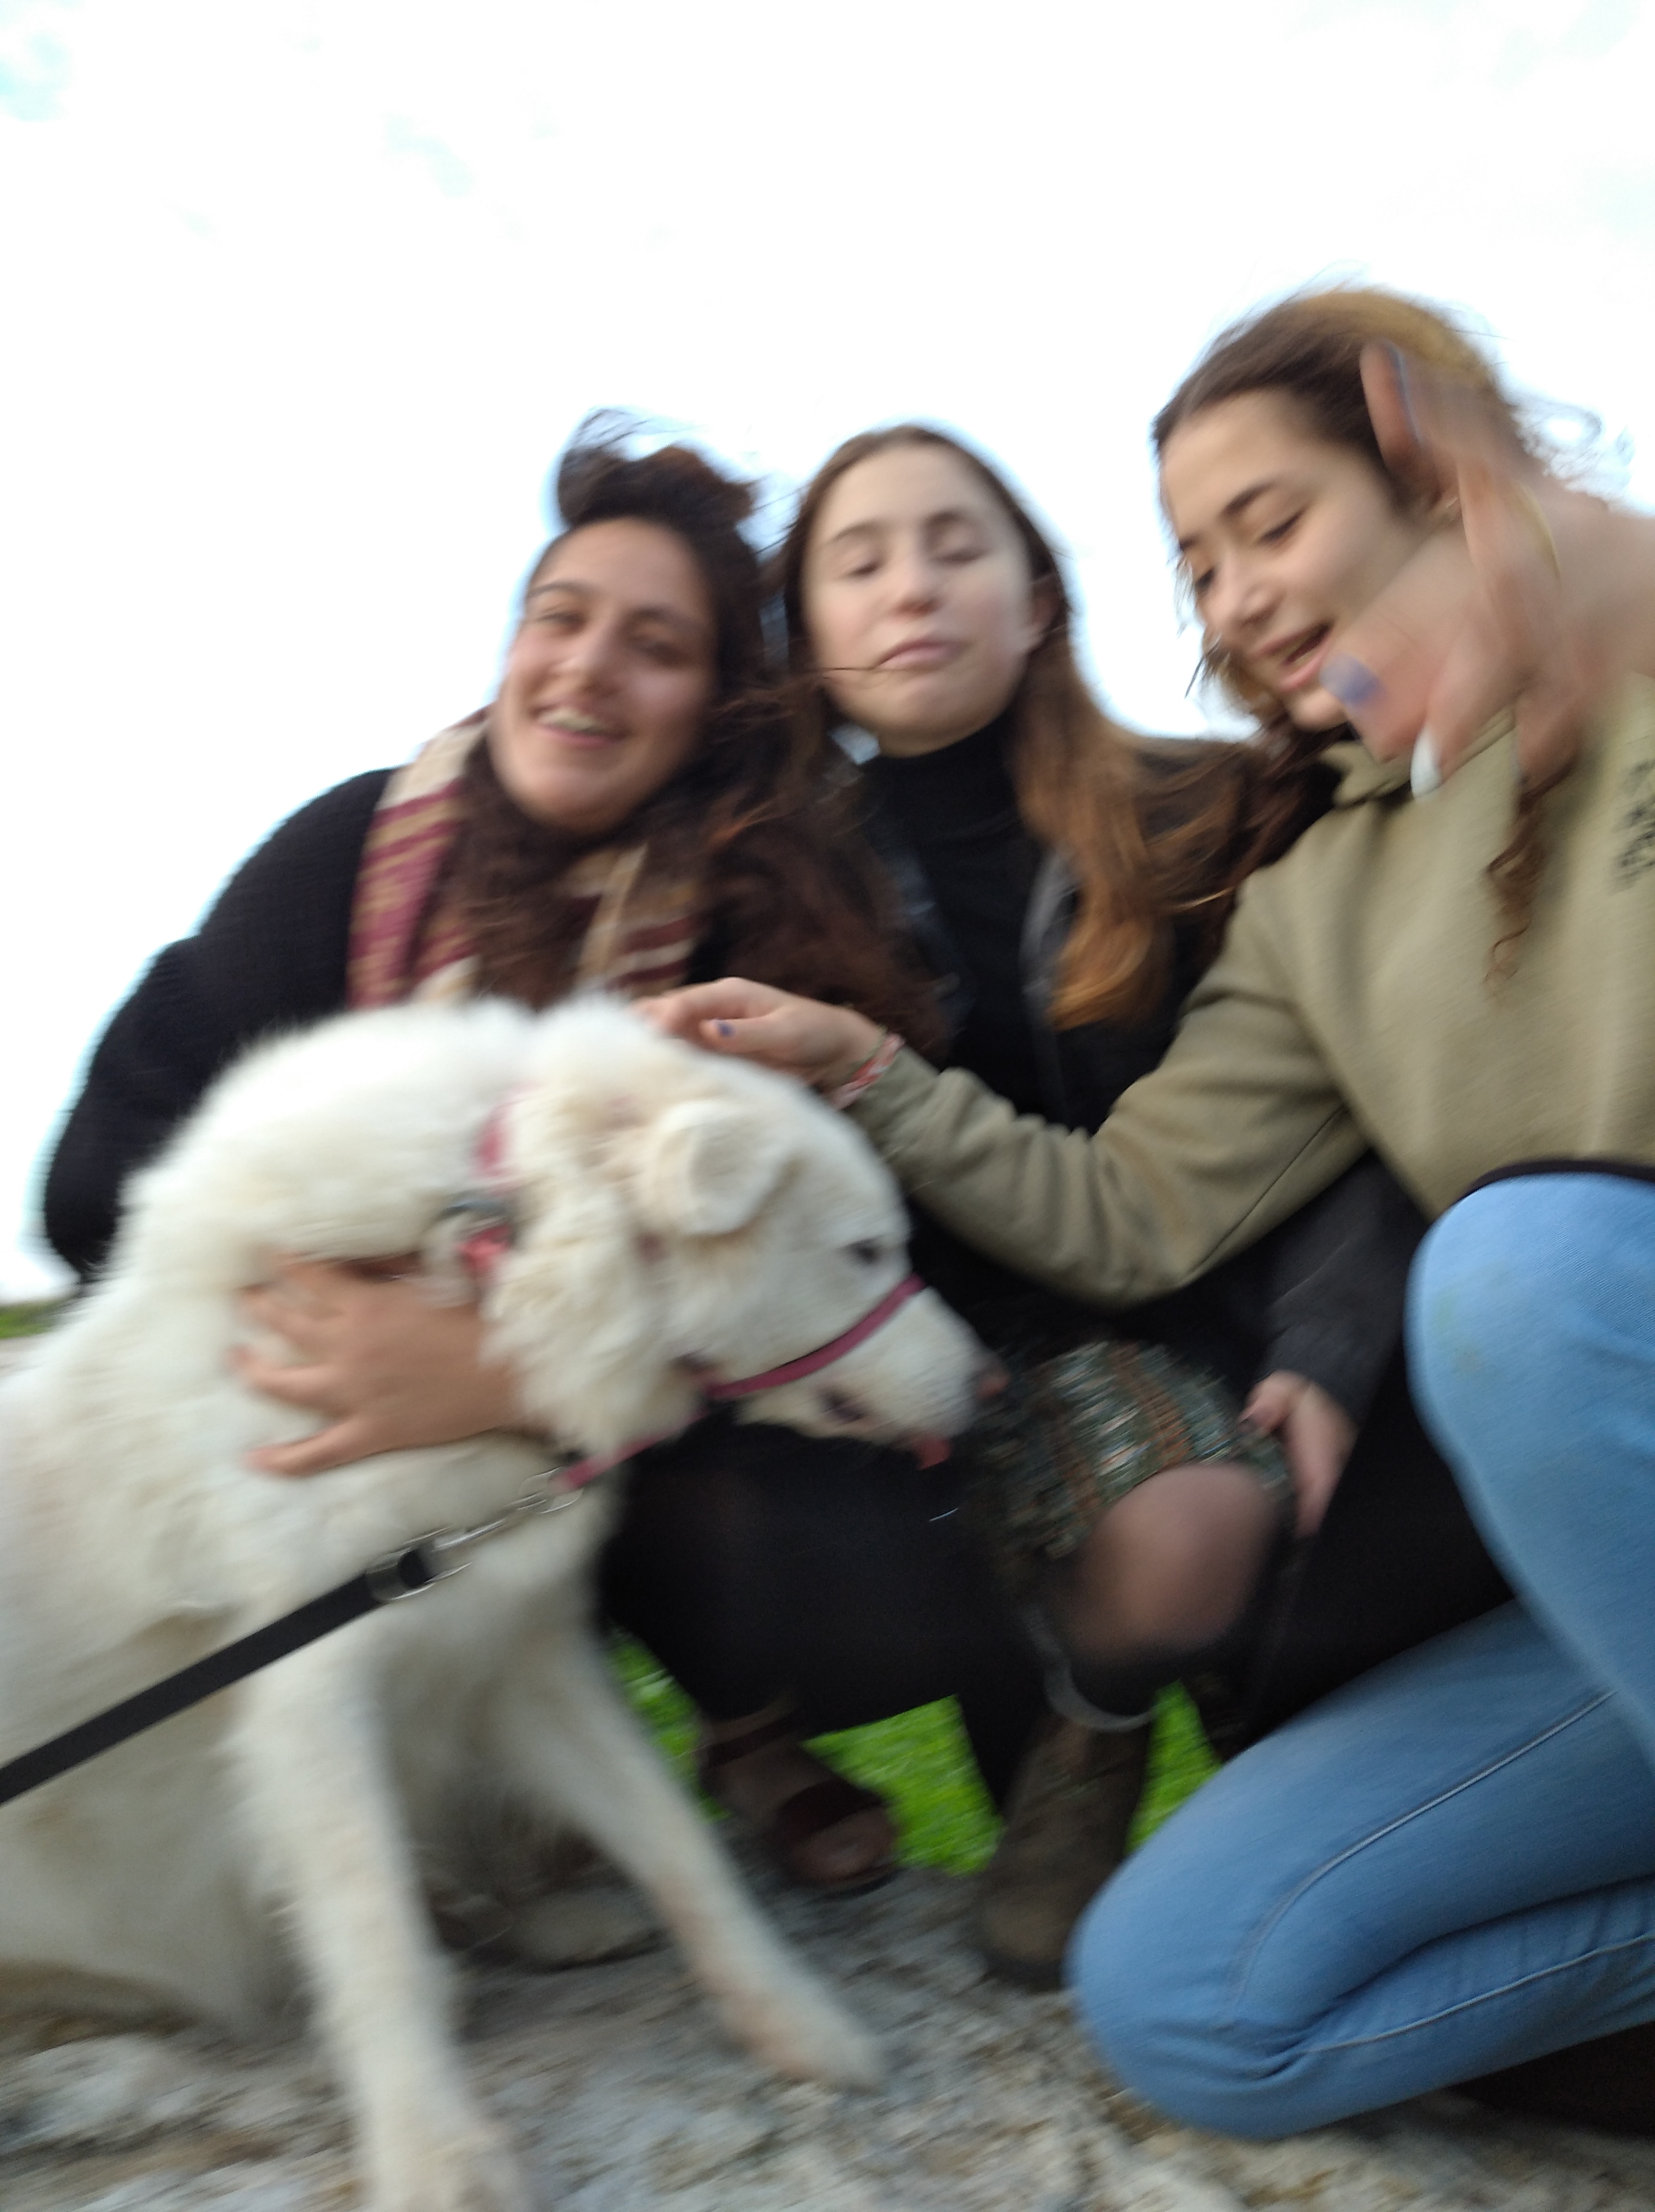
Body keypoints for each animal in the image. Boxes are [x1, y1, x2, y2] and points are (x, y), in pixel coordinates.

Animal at [0, 998, 985, 2211]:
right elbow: (370, 1928)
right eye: (864, 1250)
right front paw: (438, 2155)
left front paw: (796, 2022)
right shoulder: (311, 1698)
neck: (501, 1258)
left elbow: (678, 1846)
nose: (991, 1383)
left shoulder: (526, 1657)